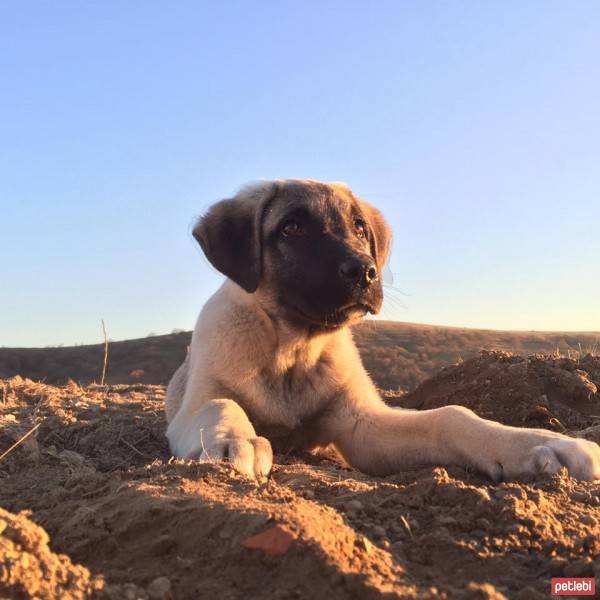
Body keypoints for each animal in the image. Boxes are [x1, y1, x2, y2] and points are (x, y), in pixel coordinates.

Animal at [164, 179, 600, 482]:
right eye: (290, 228)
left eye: (359, 227)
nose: (364, 272)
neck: (293, 349)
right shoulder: (199, 400)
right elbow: (221, 404)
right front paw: (232, 439)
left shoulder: (364, 425)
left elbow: (452, 415)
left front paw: (540, 442)